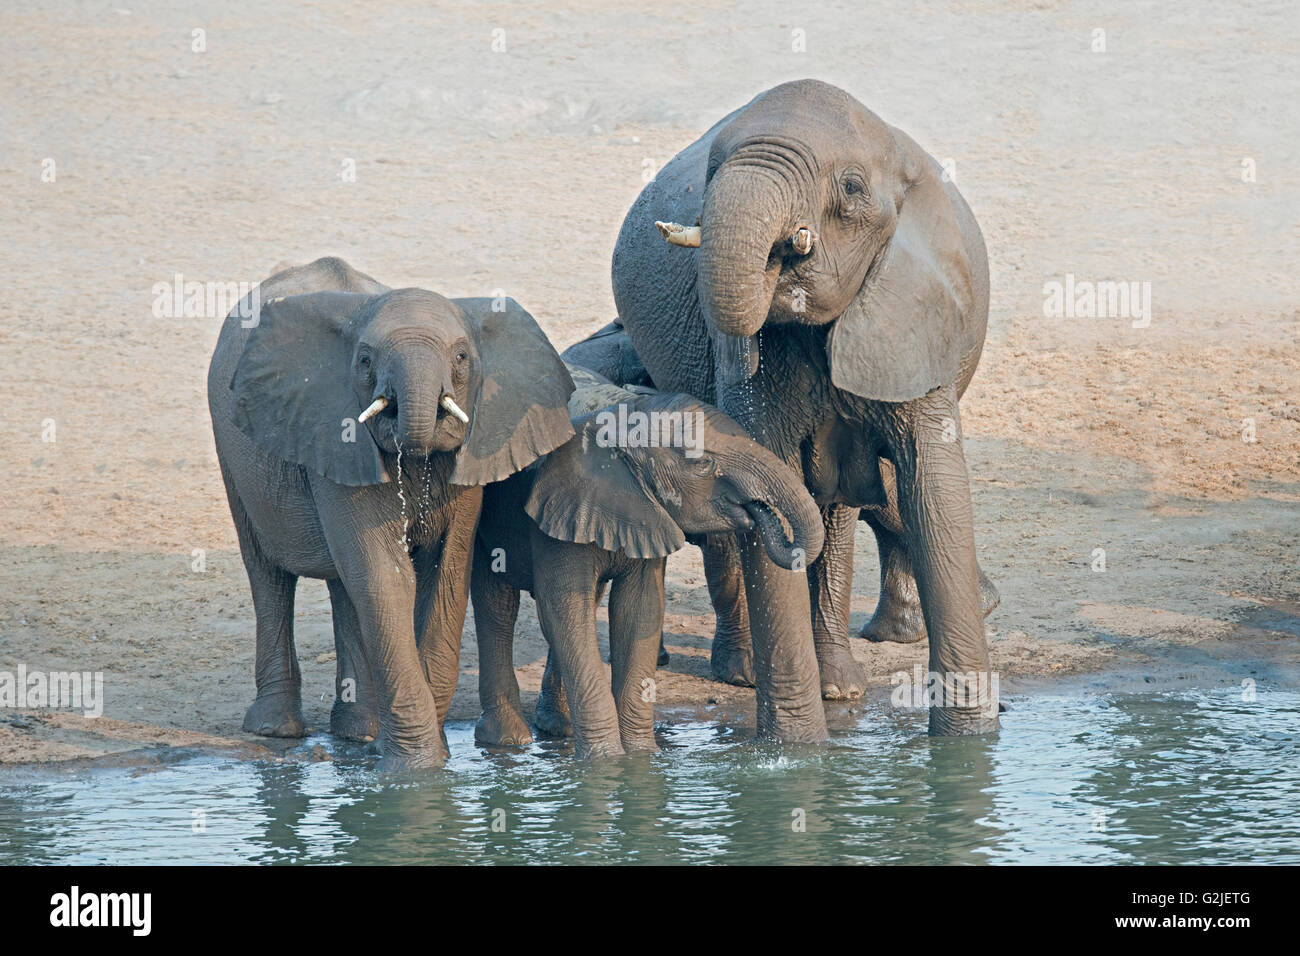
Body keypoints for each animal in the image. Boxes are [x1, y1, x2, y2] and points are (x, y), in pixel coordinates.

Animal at [209, 254, 574, 770]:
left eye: (462, 357)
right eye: (364, 360)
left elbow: (446, 571)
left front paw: (428, 760)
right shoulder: (334, 427)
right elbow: (385, 573)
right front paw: (417, 770)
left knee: (344, 585)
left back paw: (358, 733)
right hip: (233, 450)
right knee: (268, 573)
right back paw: (277, 730)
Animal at [475, 369, 821, 759]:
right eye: (702, 463)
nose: (760, 508)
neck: (619, 426)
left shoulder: (643, 513)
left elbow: (640, 610)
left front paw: (641, 758)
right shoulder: (559, 520)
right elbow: (565, 611)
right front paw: (605, 762)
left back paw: (558, 729)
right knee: (497, 605)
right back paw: (508, 740)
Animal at [613, 82, 998, 738]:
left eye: (850, 188)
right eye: (712, 172)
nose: (784, 249)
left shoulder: (917, 318)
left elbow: (934, 489)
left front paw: (968, 747)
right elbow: (772, 479)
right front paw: (794, 750)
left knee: (837, 511)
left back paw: (839, 684)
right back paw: (750, 674)